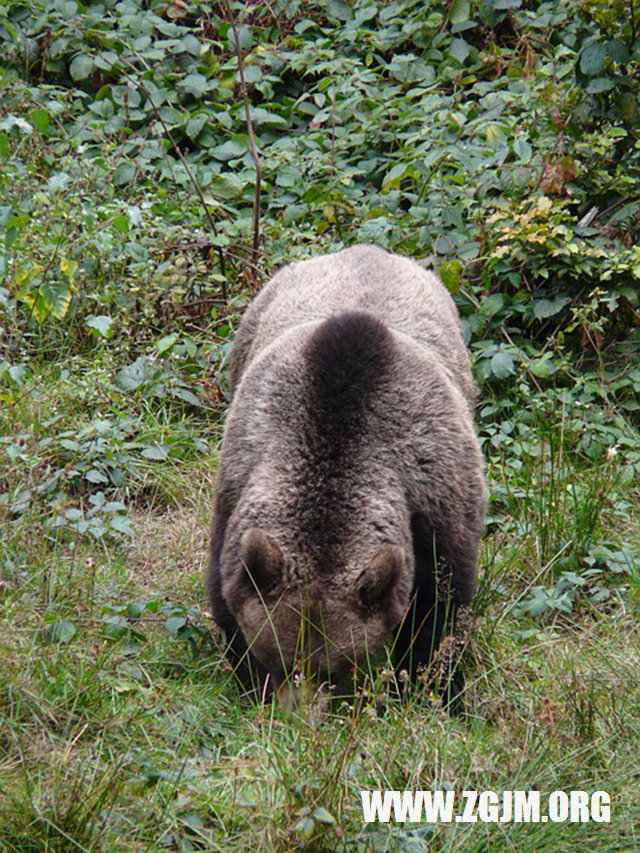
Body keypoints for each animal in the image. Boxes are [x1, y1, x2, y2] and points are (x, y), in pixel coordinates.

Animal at [208, 245, 488, 704]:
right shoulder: (241, 472)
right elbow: (226, 587)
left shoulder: (436, 491)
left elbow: (441, 610)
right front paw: (248, 678)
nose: (297, 715)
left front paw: (430, 686)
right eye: (278, 659)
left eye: (335, 668)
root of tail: (367, 249)